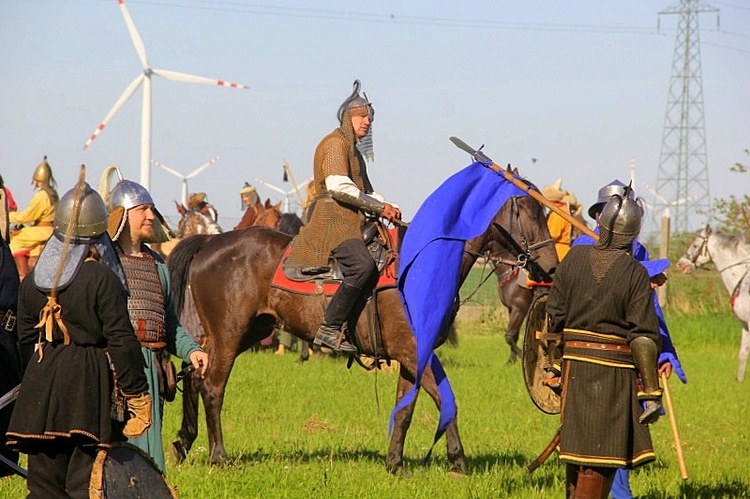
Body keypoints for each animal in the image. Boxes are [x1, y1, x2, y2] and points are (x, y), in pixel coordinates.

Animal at [166, 187, 560, 472]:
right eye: (527, 213)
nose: (553, 267)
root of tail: (211, 242)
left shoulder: (410, 358)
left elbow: (405, 410)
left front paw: (396, 463)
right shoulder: (414, 353)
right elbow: (444, 399)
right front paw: (458, 461)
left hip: (245, 330)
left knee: (195, 375)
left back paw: (184, 442)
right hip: (230, 334)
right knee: (213, 387)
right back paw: (218, 455)